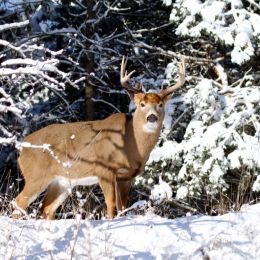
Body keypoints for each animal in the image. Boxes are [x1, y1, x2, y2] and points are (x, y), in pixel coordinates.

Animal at [13, 57, 185, 219]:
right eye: (142, 104)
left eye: (160, 104)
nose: (152, 117)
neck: (131, 146)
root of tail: (22, 148)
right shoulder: (104, 169)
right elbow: (111, 203)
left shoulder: (127, 176)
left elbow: (123, 206)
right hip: (36, 175)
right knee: (19, 202)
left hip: (61, 182)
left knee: (47, 208)